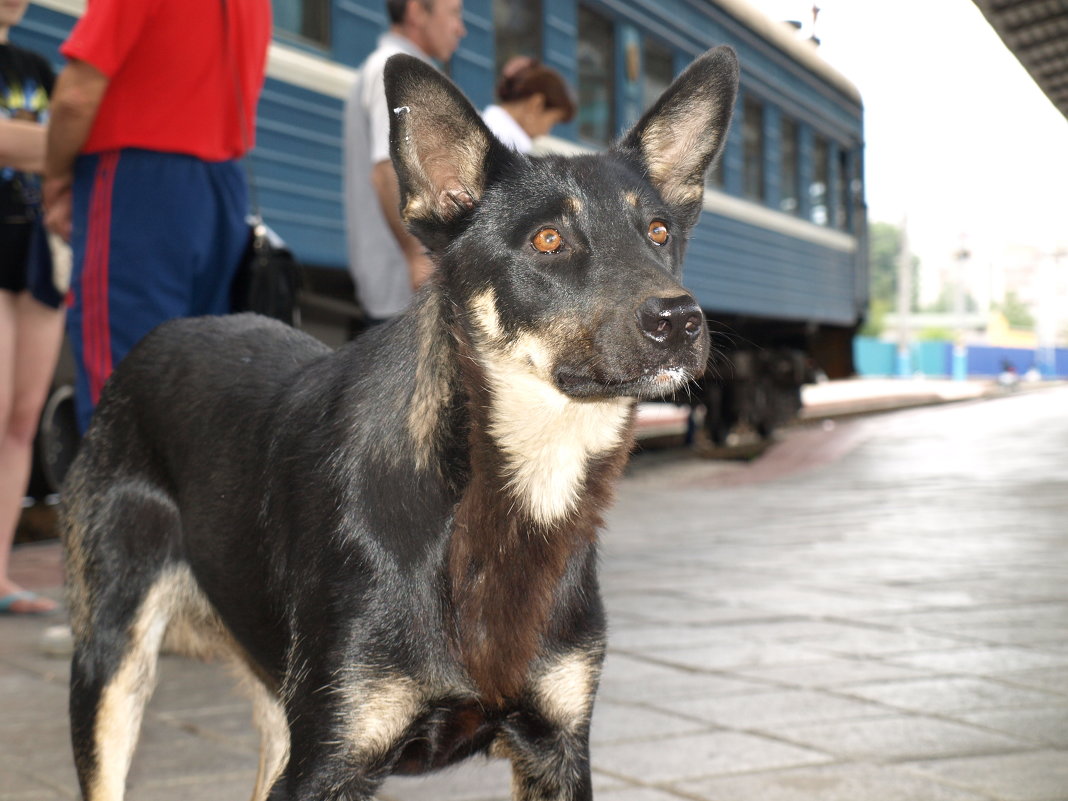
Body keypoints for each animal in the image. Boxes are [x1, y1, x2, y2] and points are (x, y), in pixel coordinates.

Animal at [62, 46, 739, 798]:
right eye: (549, 240)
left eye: (659, 232)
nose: (680, 319)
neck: (496, 496)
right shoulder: (328, 760)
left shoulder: (557, 747)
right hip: (111, 664)